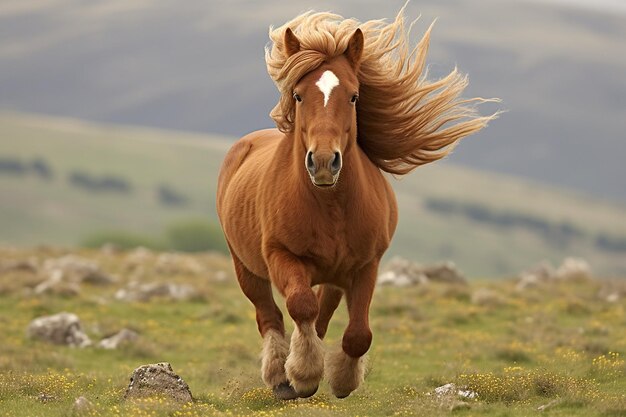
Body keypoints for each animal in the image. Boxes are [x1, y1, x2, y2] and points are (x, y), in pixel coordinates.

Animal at [217, 8, 494, 400]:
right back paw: (279, 375)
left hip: (333, 275)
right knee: (269, 313)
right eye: (298, 95)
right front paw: (302, 374)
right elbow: (300, 305)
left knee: (322, 313)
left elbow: (358, 333)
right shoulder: (282, 256)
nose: (322, 162)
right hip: (246, 267)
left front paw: (341, 378)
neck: (330, 204)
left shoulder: (366, 265)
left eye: (353, 96)